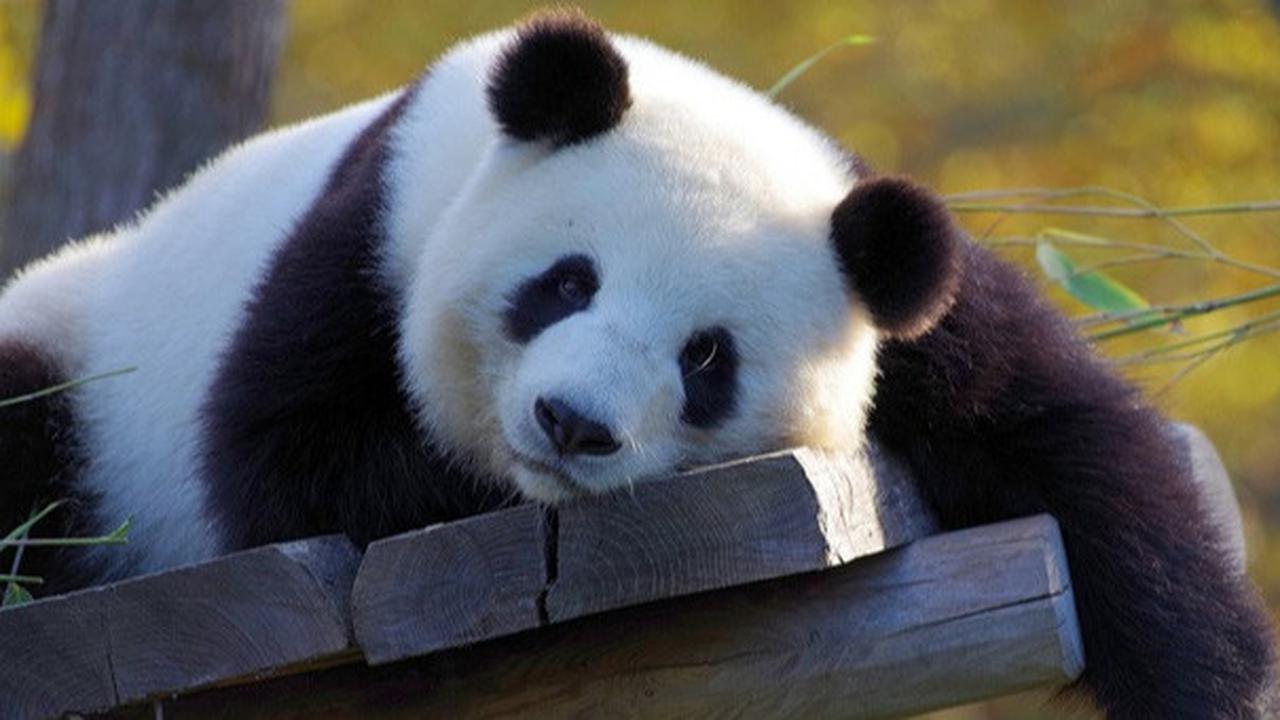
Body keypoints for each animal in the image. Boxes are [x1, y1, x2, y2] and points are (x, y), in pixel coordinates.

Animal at [0, 10, 1272, 719]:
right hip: (80, 360)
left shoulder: (898, 297)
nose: (572, 425)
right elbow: (288, 457)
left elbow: (1075, 449)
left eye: (706, 357)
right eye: (567, 282)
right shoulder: (374, 231)